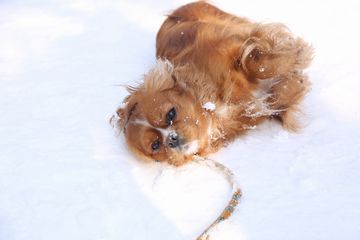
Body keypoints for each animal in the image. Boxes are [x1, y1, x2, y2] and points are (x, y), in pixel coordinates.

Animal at [111, 1, 314, 166]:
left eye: (170, 114)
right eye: (155, 145)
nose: (172, 139)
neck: (213, 108)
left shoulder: (235, 43)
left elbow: (259, 64)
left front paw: (297, 55)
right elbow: (275, 101)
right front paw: (289, 89)